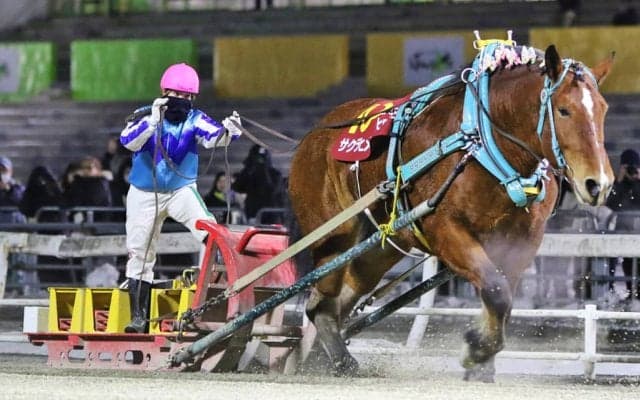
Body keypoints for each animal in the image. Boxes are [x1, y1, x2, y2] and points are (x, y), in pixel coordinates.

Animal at [288, 41, 614, 381]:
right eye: (564, 110)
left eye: (603, 108)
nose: (598, 183)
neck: (481, 144)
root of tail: (315, 134)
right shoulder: (444, 231)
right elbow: (496, 290)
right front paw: (477, 350)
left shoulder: (521, 239)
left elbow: (502, 296)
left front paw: (483, 360)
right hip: (332, 234)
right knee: (320, 301)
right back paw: (339, 359)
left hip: (385, 243)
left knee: (341, 296)